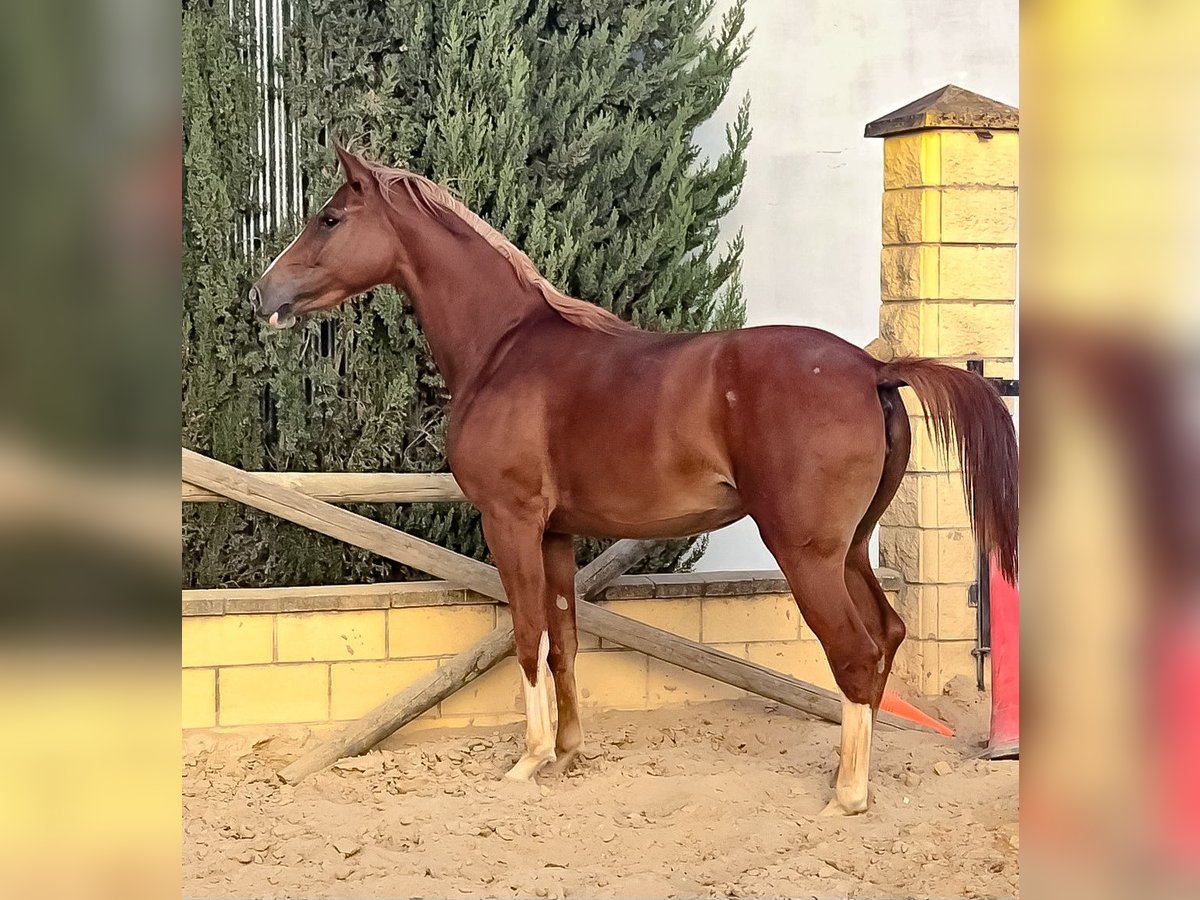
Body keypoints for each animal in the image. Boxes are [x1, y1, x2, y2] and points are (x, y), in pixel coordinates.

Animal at [248, 148, 1017, 816]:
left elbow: (527, 636)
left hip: (807, 555)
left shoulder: (511, 521)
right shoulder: (557, 535)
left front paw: (527, 762)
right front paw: (567, 754)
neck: (504, 349)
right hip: (850, 549)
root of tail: (872, 368)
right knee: (886, 635)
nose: (262, 293)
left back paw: (847, 798)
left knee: (855, 652)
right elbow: (564, 639)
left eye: (330, 218)